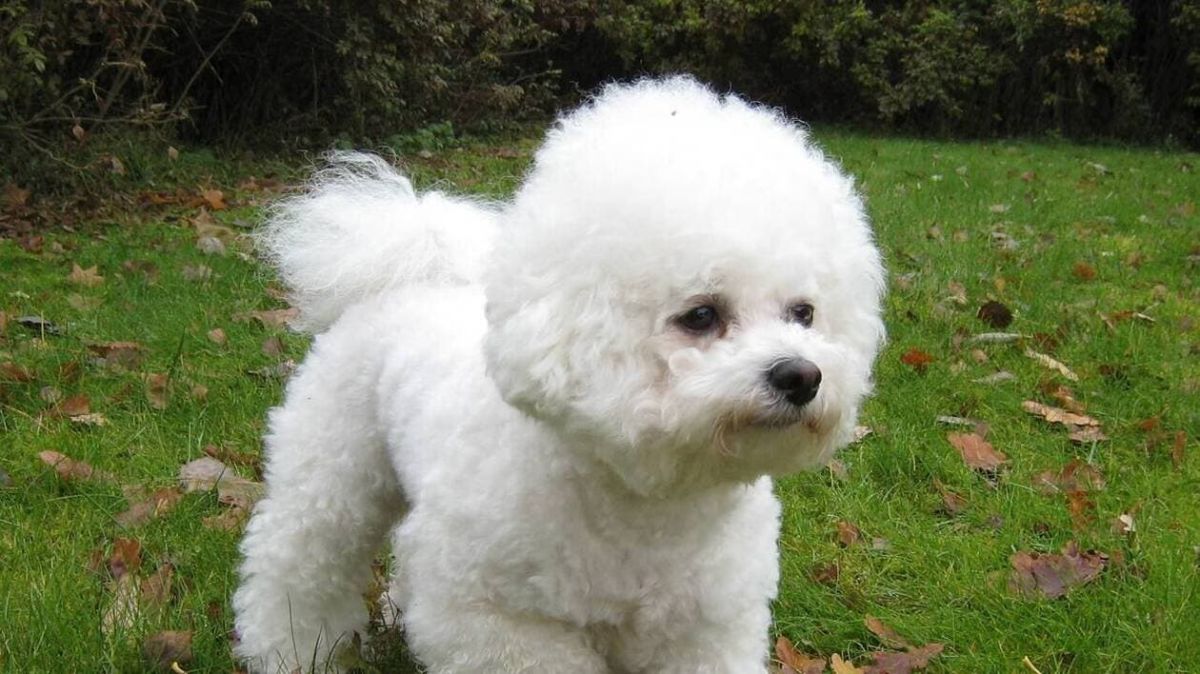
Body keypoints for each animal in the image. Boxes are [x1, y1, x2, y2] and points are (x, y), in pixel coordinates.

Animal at [233, 76, 885, 673]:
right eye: (701, 315)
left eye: (803, 313)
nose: (802, 376)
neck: (646, 505)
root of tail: (413, 274)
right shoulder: (495, 621)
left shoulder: (701, 629)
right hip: (333, 469)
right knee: (300, 560)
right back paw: (293, 652)